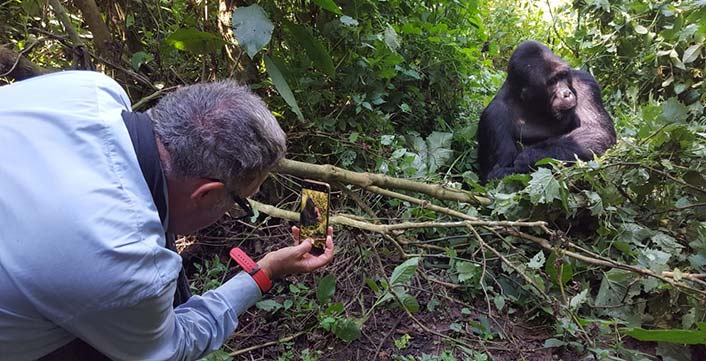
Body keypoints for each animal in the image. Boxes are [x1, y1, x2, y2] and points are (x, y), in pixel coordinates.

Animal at [476, 40, 612, 181]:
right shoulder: (493, 115)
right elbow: (496, 173)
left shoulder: (584, 82)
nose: (566, 94)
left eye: (563, 76)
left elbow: (597, 131)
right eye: (552, 81)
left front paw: (529, 156)